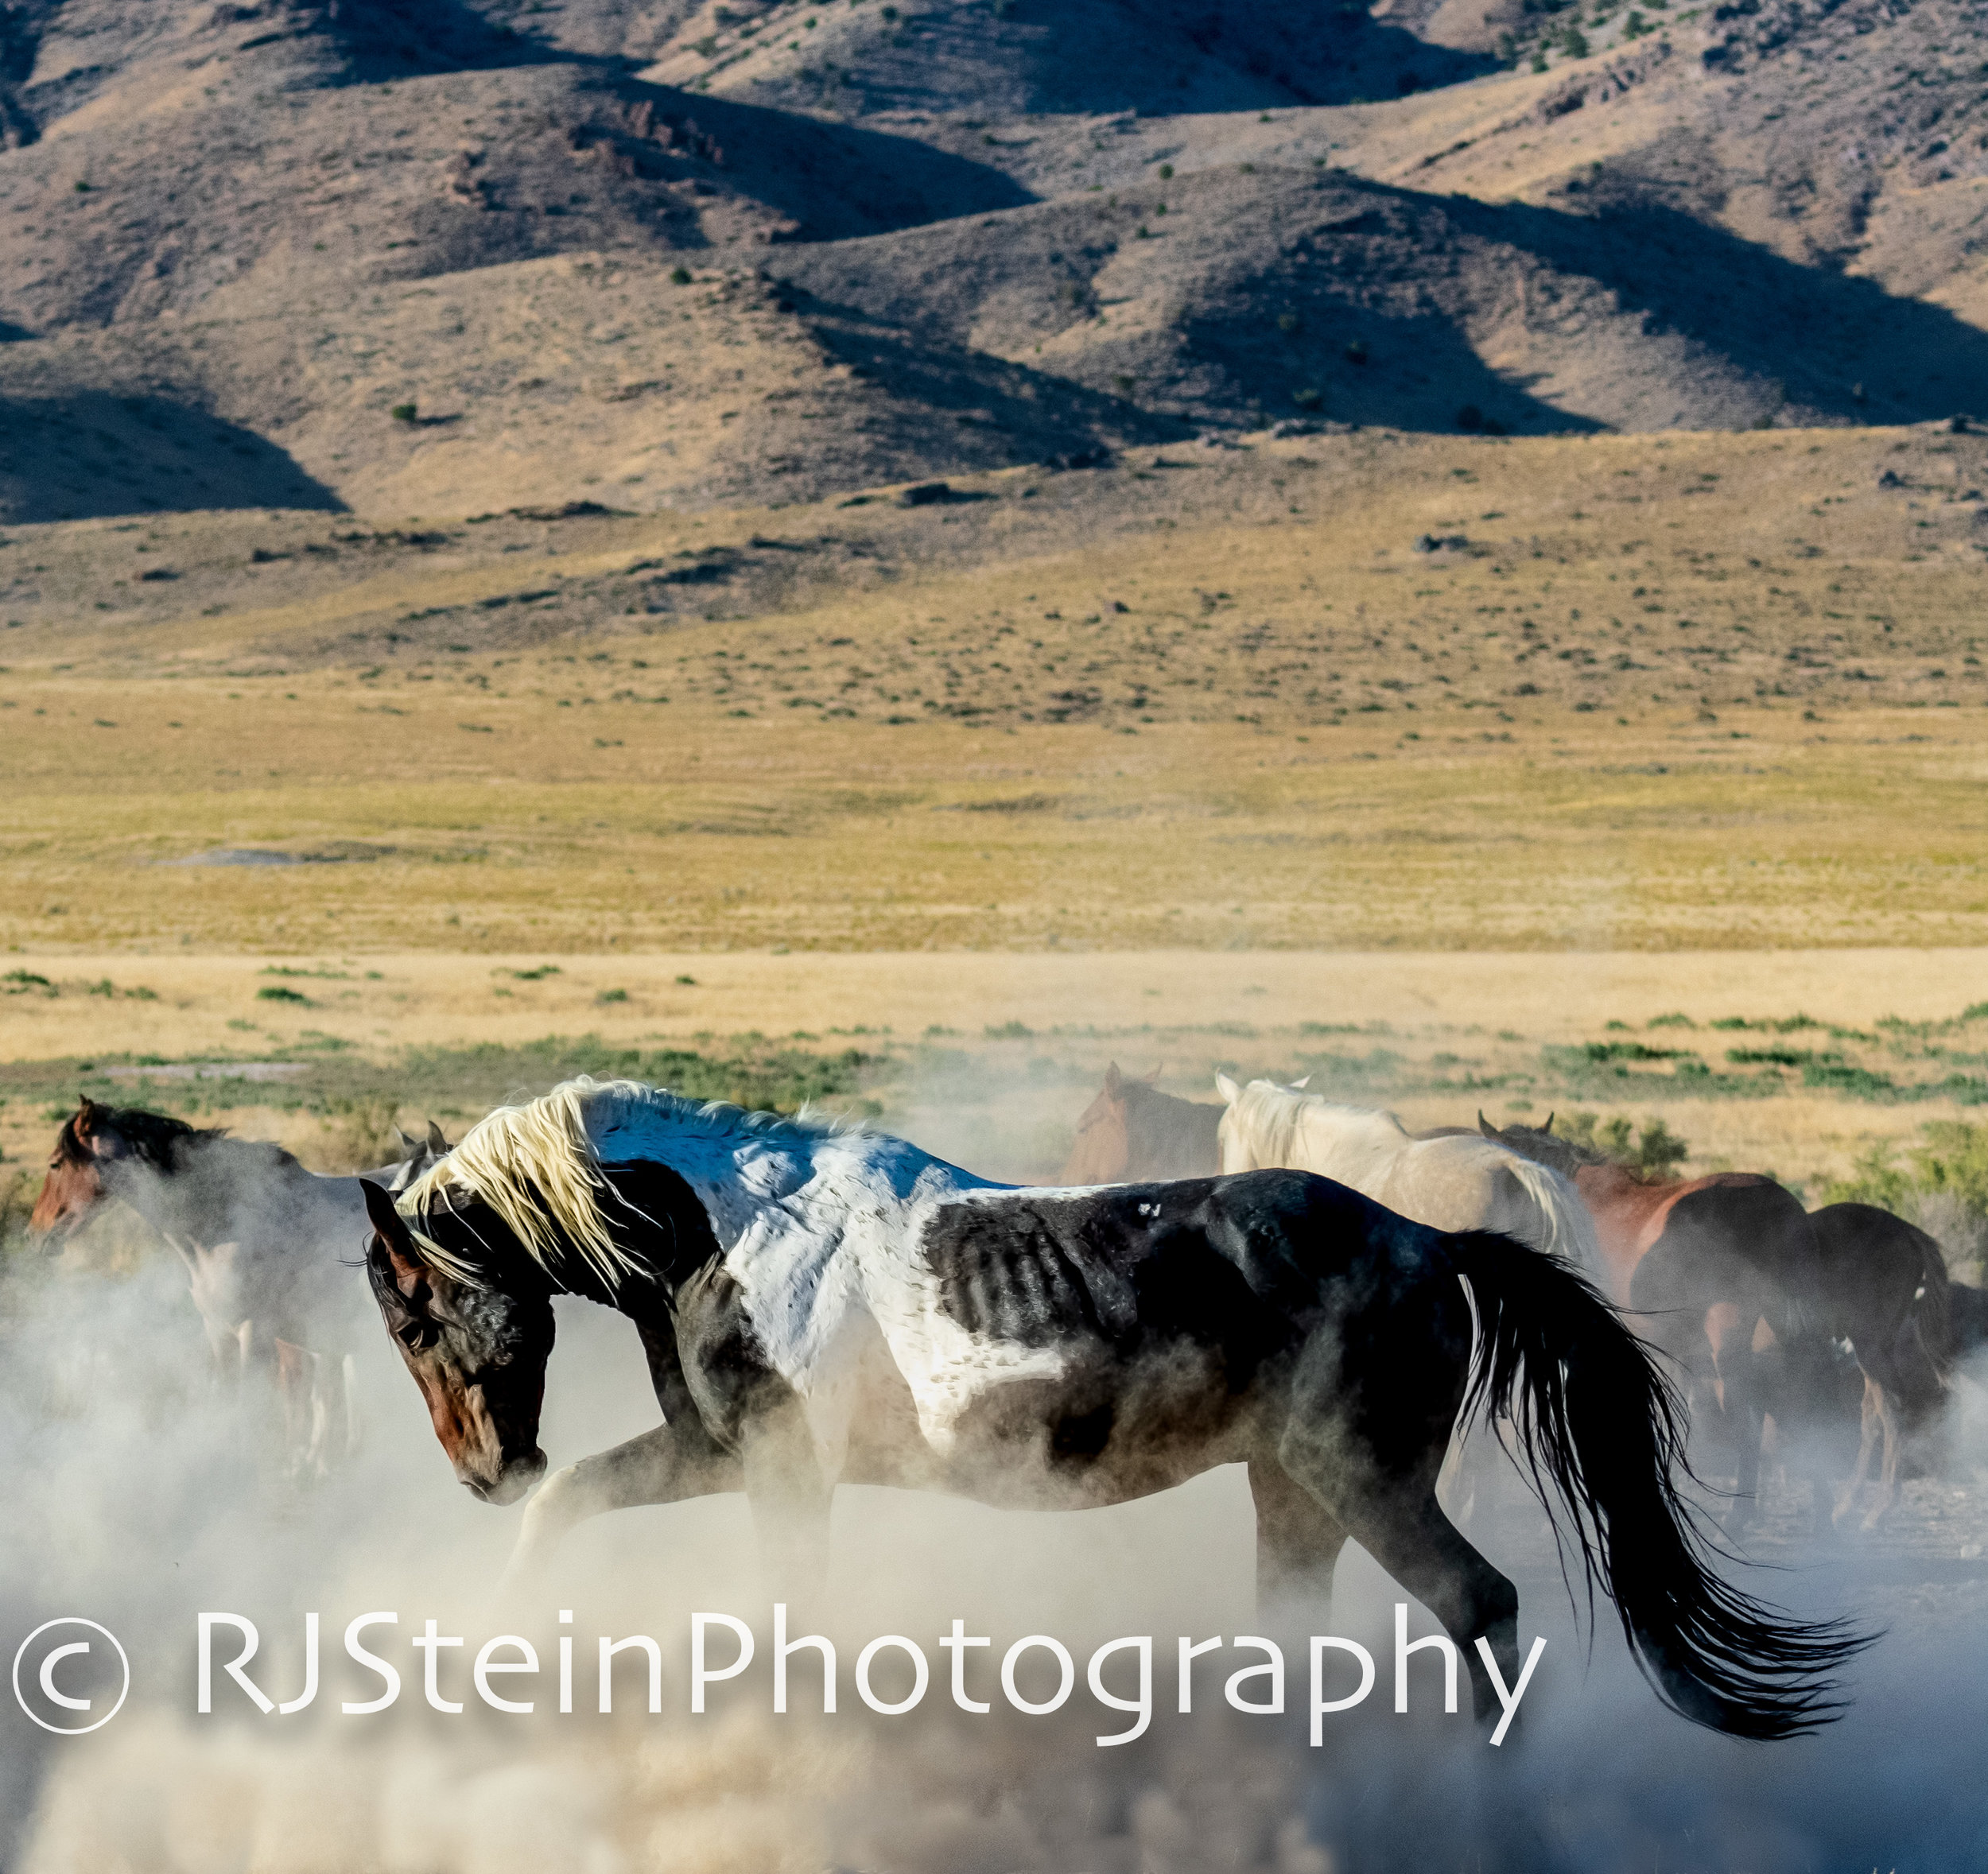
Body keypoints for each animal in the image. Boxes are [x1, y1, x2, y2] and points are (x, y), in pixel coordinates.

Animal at [366, 1081, 1869, 1748]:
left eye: (411, 1311)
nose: (483, 1472)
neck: (725, 1230)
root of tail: (1434, 1244)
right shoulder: (714, 1453)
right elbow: (578, 1506)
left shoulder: (784, 1474)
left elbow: (792, 1620)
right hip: (1291, 1492)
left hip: (1368, 1480)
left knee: (1482, 1607)